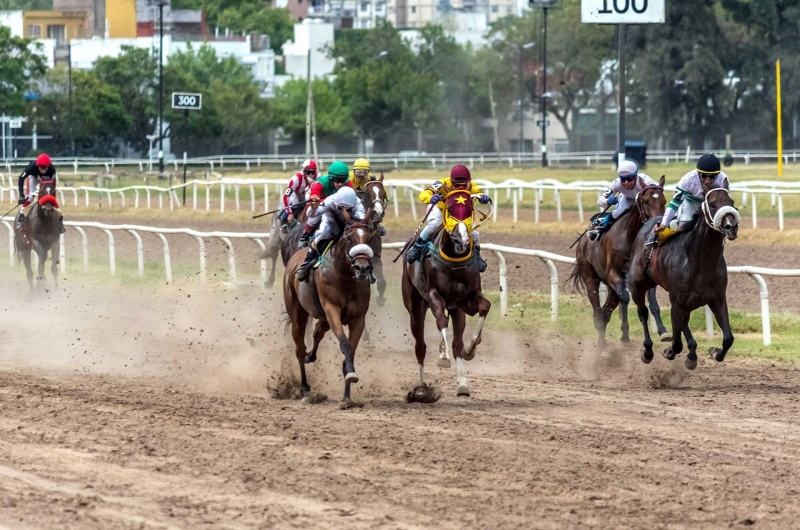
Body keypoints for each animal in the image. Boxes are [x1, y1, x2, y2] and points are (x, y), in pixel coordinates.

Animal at [284, 219, 376, 404]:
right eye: (349, 238)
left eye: (369, 238)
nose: (362, 268)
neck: (345, 277)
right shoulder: (332, 310)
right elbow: (345, 343)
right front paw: (350, 374)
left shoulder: (358, 319)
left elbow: (351, 351)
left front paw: (347, 395)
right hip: (298, 315)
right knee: (299, 348)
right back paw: (304, 388)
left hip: (323, 319)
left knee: (317, 333)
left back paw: (310, 357)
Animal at [404, 190, 490, 396]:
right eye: (449, 208)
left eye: (470, 208)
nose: (462, 241)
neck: (454, 261)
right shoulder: (435, 295)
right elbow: (441, 321)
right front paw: (443, 357)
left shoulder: (466, 300)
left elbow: (485, 306)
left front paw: (471, 348)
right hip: (415, 308)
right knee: (420, 346)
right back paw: (421, 388)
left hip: (456, 310)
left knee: (456, 344)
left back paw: (462, 384)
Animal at [568, 175, 668, 348]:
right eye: (646, 201)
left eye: (664, 201)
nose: (658, 224)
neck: (631, 237)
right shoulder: (613, 274)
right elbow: (626, 298)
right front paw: (625, 334)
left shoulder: (645, 276)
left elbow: (653, 303)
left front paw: (663, 331)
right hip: (589, 275)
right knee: (597, 310)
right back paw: (601, 342)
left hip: (610, 287)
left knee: (605, 311)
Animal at [632, 188, 736, 370]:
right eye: (712, 204)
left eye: (731, 202)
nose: (732, 227)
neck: (701, 261)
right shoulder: (677, 300)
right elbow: (677, 343)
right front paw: (668, 351)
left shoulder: (717, 298)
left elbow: (728, 338)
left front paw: (714, 351)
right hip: (638, 285)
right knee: (643, 312)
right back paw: (648, 351)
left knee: (683, 322)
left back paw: (692, 352)